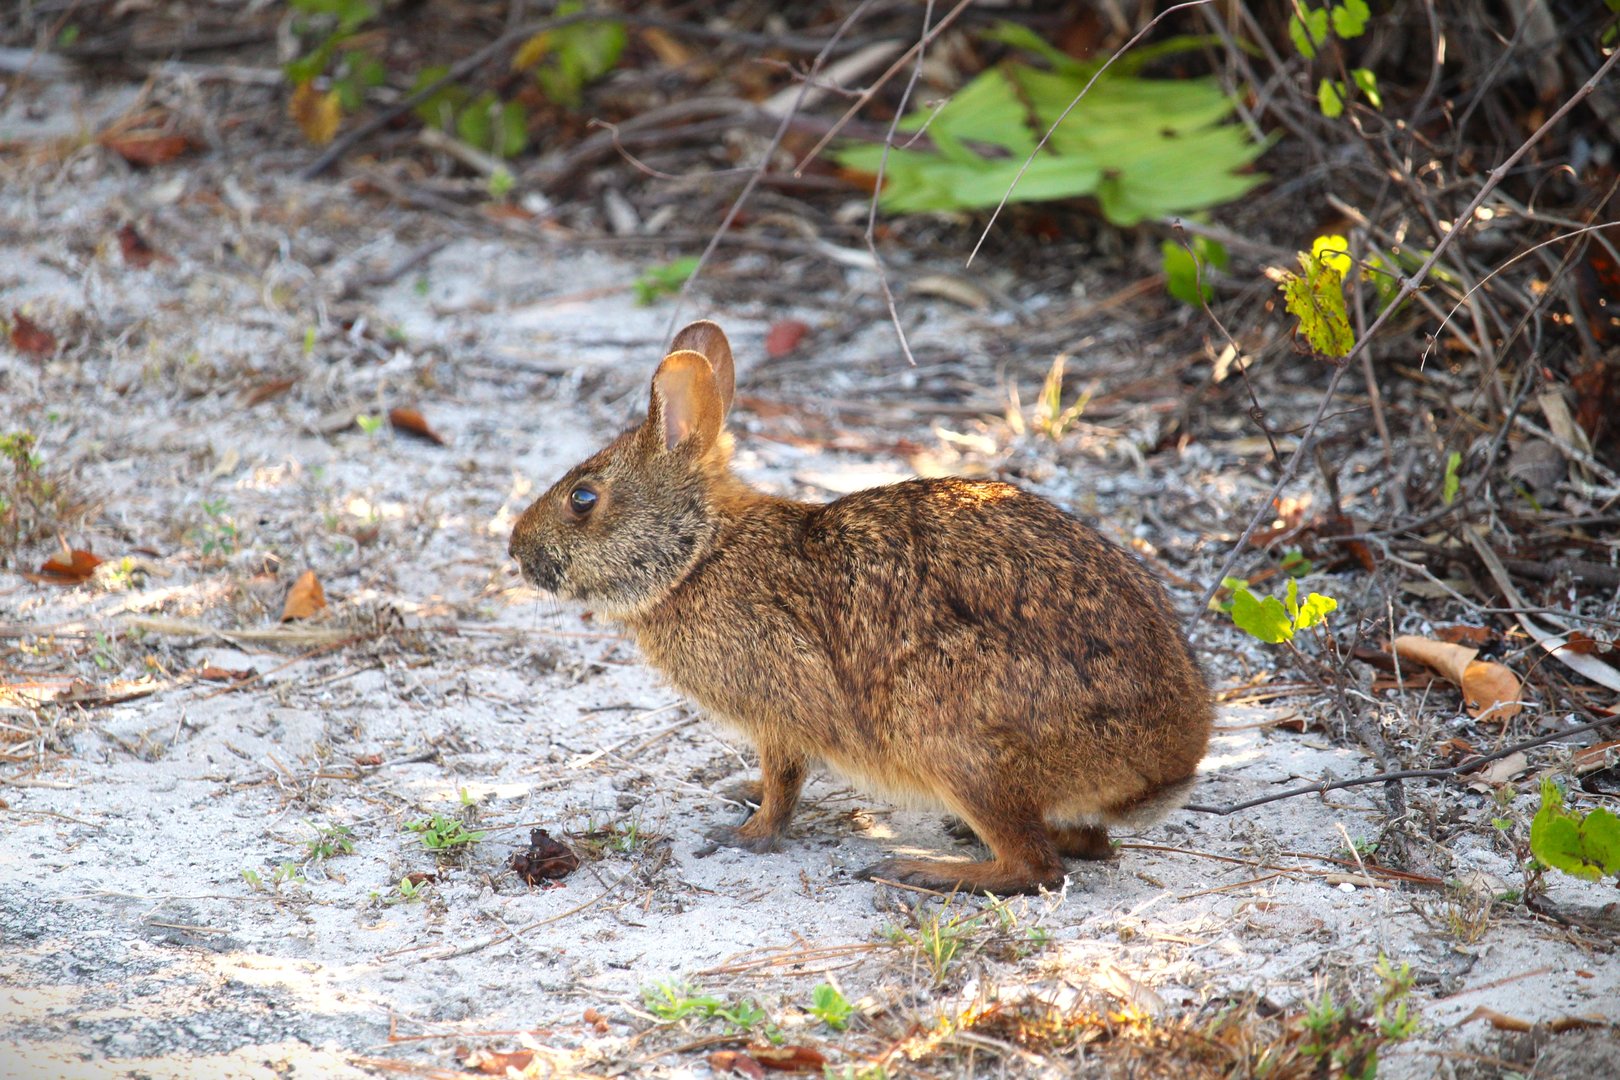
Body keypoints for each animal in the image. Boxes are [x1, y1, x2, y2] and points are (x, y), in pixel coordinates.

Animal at [509, 321, 1212, 894]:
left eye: (582, 498)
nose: (516, 549)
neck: (701, 552)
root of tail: (1168, 767)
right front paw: (741, 794)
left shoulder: (782, 709)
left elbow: (785, 784)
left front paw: (745, 835)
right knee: (1087, 845)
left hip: (951, 734)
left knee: (1038, 867)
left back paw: (922, 870)